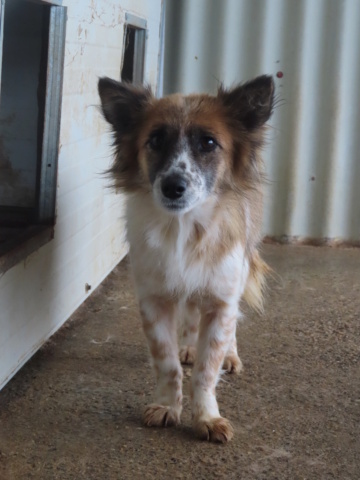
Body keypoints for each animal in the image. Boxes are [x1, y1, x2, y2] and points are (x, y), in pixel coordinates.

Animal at [97, 75, 274, 442]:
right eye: (155, 140)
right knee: (192, 314)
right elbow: (167, 363)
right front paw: (167, 406)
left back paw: (230, 355)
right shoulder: (154, 301)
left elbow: (207, 370)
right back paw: (191, 346)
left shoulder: (222, 299)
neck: (184, 230)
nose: (173, 186)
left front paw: (207, 416)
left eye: (208, 142)